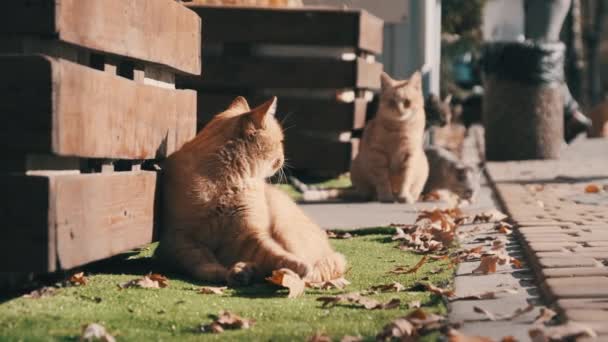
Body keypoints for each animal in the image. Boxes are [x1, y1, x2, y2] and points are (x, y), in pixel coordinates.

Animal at [158, 96, 346, 286]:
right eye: (280, 141)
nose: (284, 156)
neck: (226, 182)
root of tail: (330, 249)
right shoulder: (180, 240)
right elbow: (202, 262)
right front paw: (221, 272)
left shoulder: (249, 235)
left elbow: (275, 254)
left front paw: (294, 267)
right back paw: (242, 271)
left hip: (285, 229)